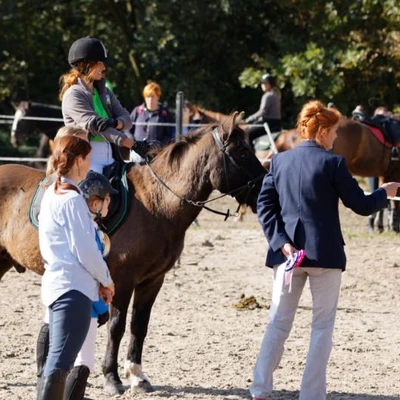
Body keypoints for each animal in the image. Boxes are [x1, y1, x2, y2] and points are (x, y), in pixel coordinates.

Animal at [0, 111, 266, 394]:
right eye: (242, 153)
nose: (264, 189)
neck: (156, 203)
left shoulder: (153, 280)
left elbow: (140, 325)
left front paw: (137, 376)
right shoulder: (122, 280)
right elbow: (116, 327)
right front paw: (112, 378)